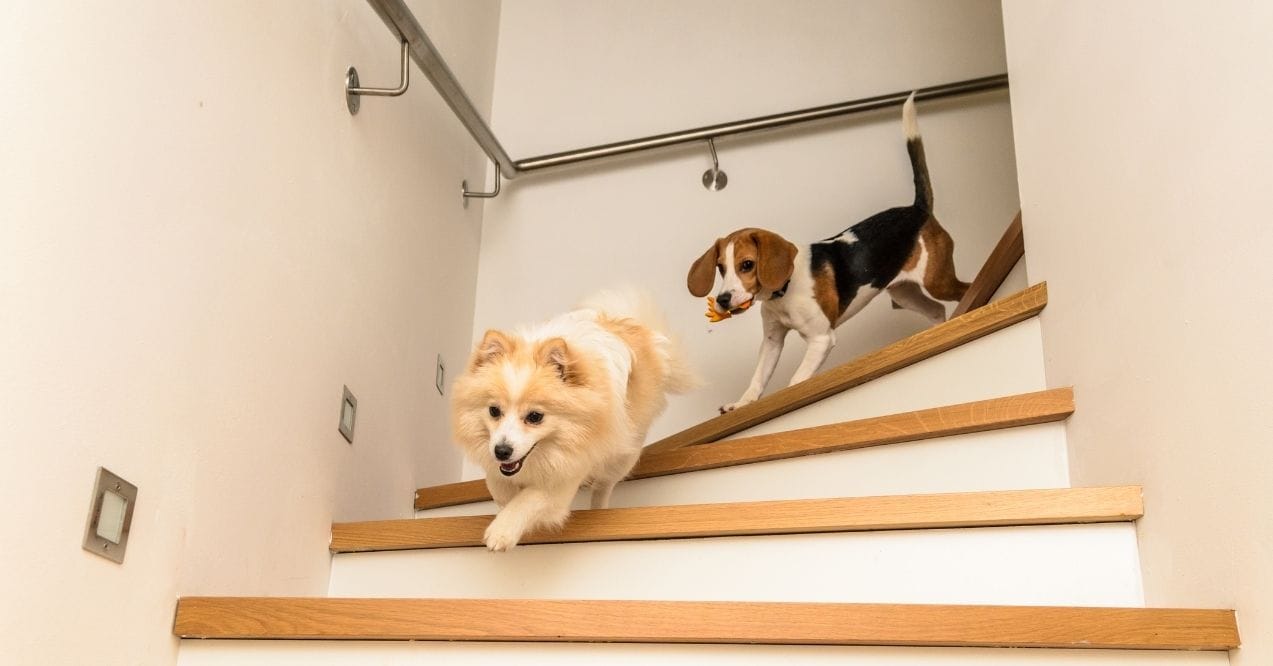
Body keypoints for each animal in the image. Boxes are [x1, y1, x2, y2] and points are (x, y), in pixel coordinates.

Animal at [453, 291, 697, 552]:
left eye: (535, 417)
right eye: (494, 411)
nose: (501, 451)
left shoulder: (568, 471)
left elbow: (530, 498)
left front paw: (503, 530)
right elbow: (498, 485)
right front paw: (505, 499)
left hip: (623, 454)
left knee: (604, 485)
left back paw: (599, 509)